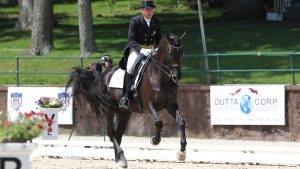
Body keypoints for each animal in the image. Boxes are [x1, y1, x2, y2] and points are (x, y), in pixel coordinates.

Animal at [66, 31, 188, 168]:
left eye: (182, 51)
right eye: (171, 51)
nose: (177, 76)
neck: (159, 76)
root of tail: (104, 75)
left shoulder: (171, 105)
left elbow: (181, 122)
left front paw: (181, 152)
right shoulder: (148, 105)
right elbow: (158, 122)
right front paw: (154, 140)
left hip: (124, 113)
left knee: (118, 134)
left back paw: (119, 159)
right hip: (108, 110)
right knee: (111, 133)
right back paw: (121, 158)